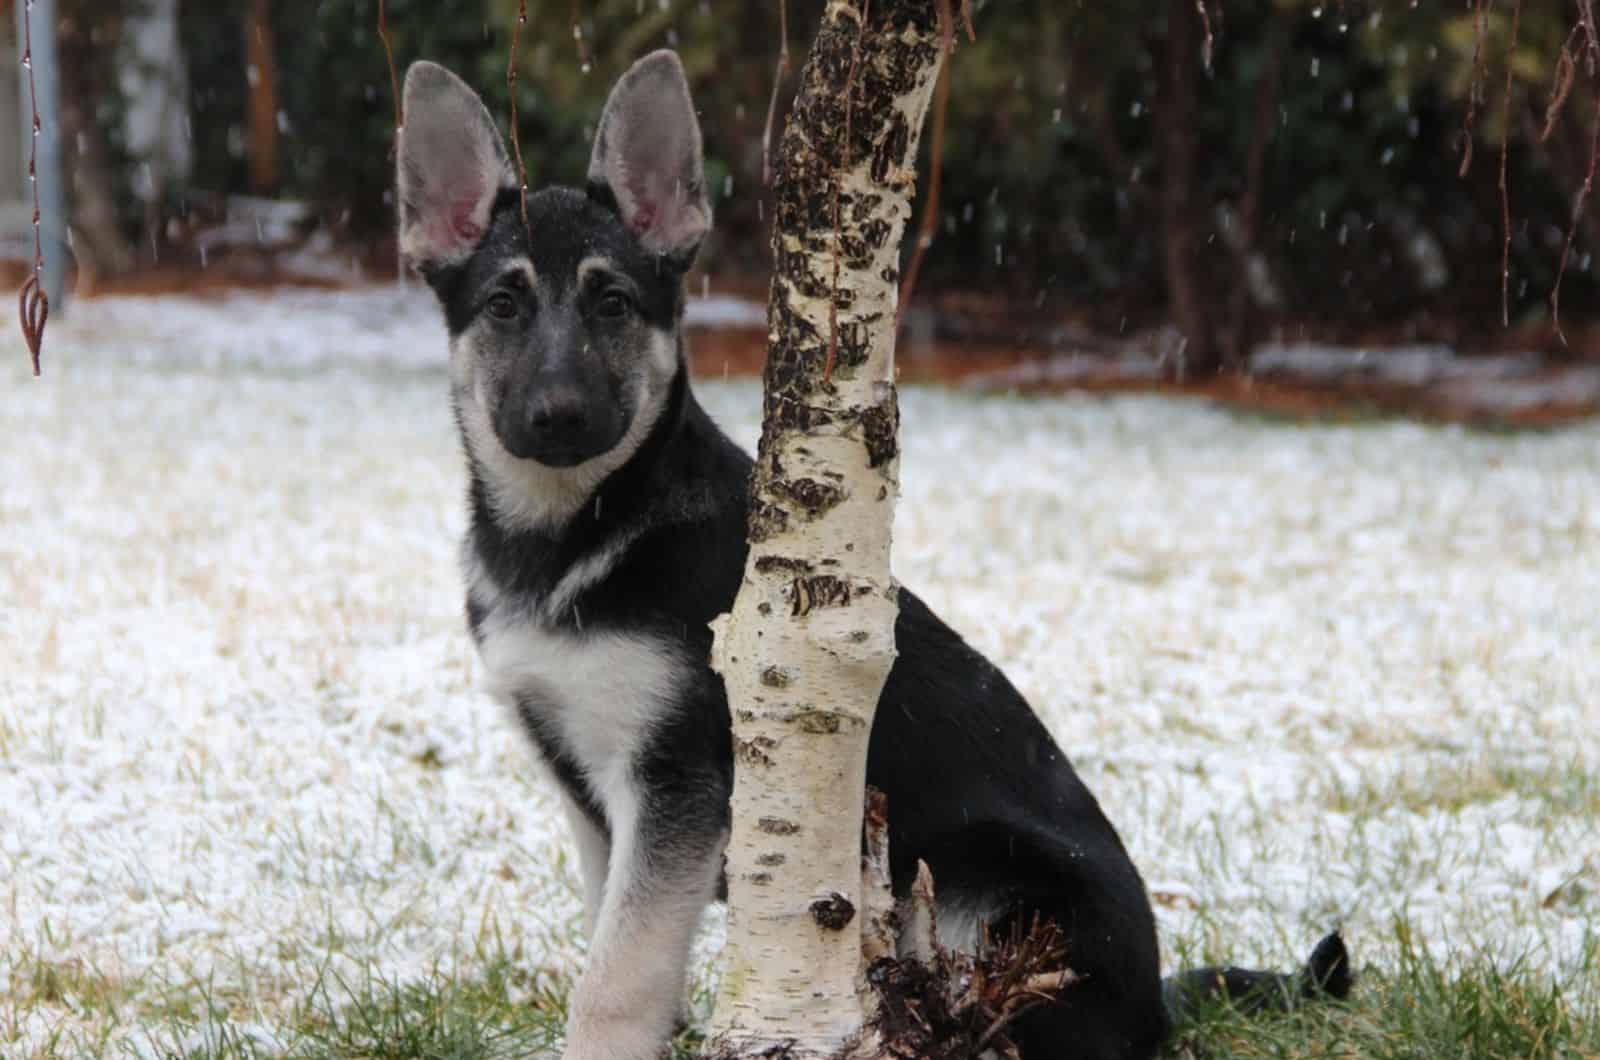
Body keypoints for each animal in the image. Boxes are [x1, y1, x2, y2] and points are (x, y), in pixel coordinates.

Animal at [393, 54, 1344, 1060]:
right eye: (502, 306)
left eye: (613, 303)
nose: (559, 417)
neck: (581, 529)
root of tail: (1157, 1006)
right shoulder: (594, 801)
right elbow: (613, 939)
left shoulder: (674, 782)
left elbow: (614, 980)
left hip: (986, 888)